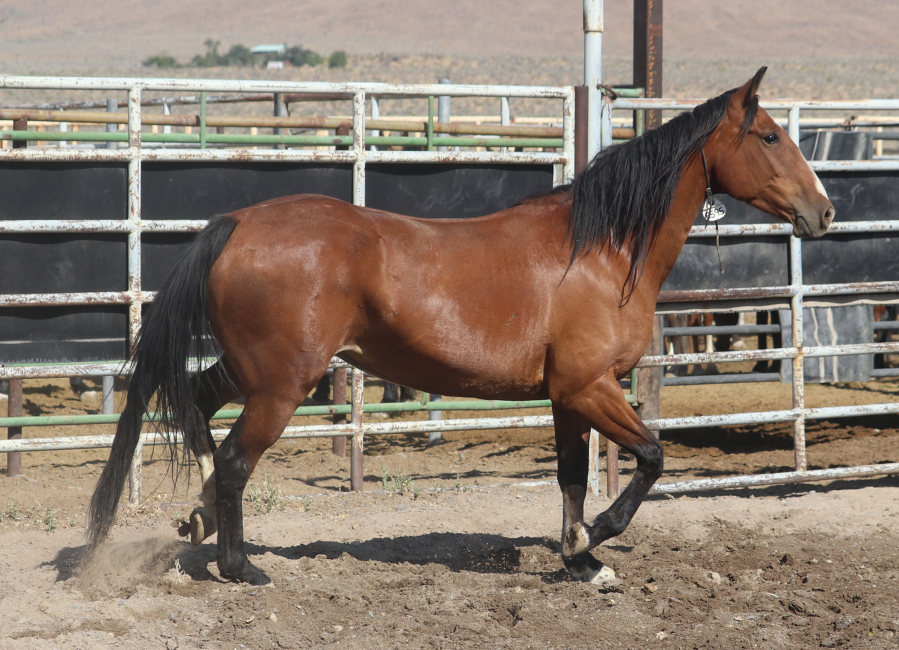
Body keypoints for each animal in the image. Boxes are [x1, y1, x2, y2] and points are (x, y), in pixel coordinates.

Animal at [87, 68, 834, 585]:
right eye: (769, 136)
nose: (822, 212)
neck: (601, 251)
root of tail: (238, 223)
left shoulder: (568, 396)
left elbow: (569, 476)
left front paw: (580, 561)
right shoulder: (590, 386)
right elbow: (650, 458)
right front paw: (593, 539)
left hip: (252, 371)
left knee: (199, 409)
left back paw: (200, 517)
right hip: (282, 385)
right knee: (237, 460)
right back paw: (240, 566)